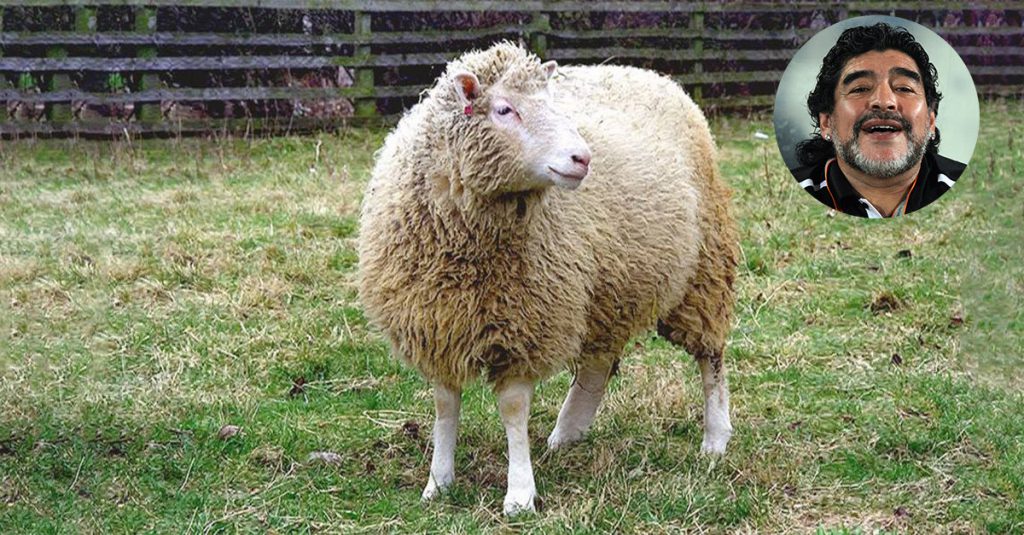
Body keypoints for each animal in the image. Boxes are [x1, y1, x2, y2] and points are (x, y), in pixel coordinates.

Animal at [357, 42, 738, 515]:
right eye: (504, 109)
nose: (583, 158)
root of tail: (648, 73)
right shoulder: (438, 323)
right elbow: (445, 406)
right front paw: (438, 483)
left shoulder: (526, 321)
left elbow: (513, 409)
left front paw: (519, 494)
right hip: (610, 283)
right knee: (597, 362)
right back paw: (568, 433)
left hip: (703, 268)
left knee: (710, 357)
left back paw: (715, 437)